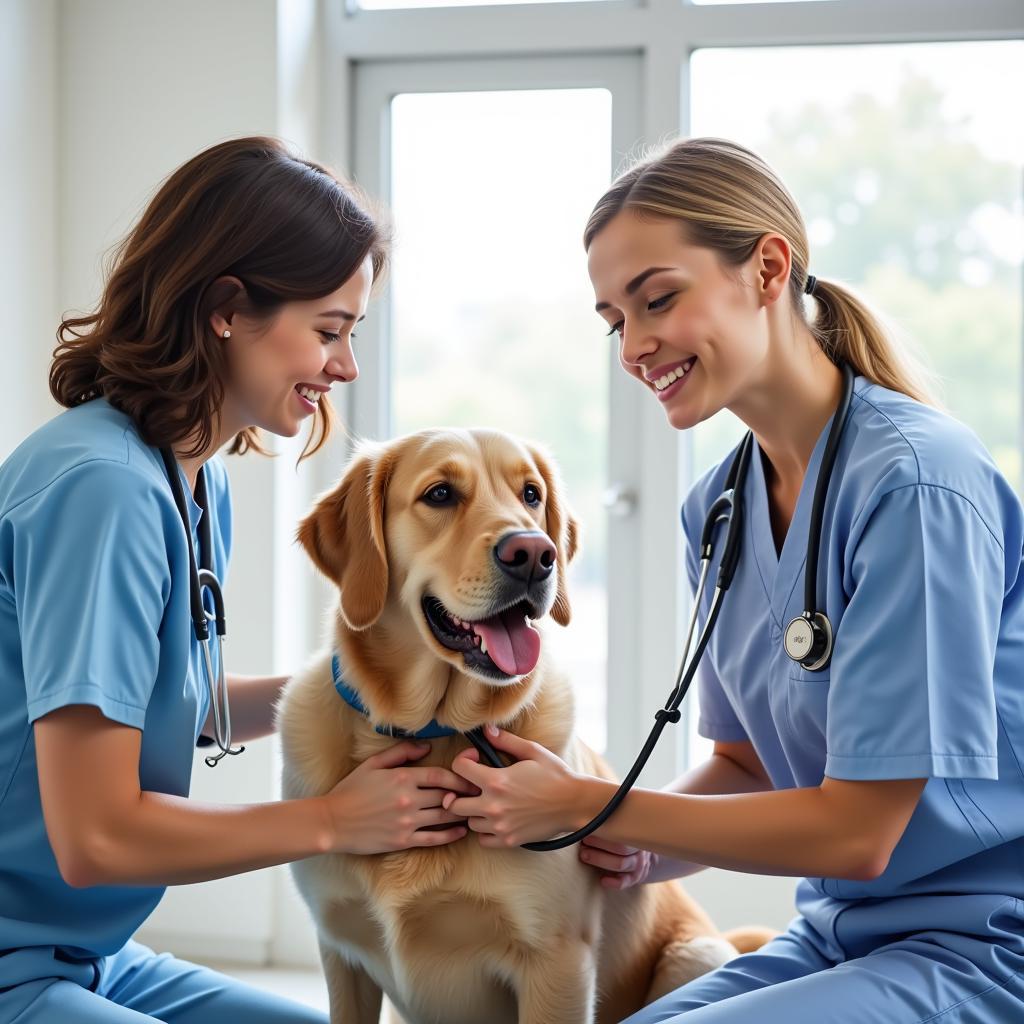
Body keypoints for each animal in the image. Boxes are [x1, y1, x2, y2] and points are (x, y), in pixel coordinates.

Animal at [276, 430, 770, 1024]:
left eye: (530, 494)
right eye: (440, 494)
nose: (534, 554)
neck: (440, 732)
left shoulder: (556, 963)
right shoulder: (341, 953)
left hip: (696, 953)